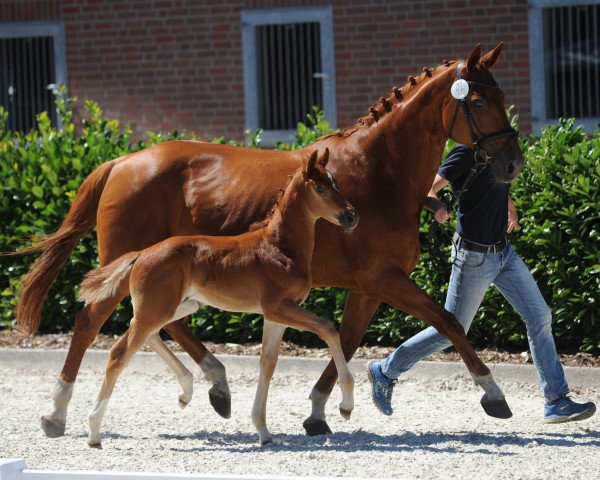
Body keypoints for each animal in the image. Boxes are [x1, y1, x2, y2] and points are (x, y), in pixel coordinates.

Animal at [76, 150, 356, 446]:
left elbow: (267, 364)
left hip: (177, 306)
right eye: (320, 188)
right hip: (158, 308)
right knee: (120, 352)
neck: (280, 247)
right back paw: (94, 431)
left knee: (145, 332)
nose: (351, 216)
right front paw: (346, 405)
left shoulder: (276, 315)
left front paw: (263, 431)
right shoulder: (278, 307)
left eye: (335, 182)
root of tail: (140, 254)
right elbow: (328, 328)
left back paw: (186, 392)